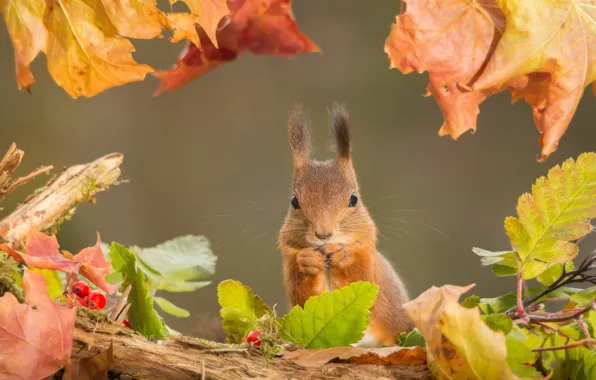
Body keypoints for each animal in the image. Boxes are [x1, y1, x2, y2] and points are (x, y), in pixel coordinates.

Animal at [278, 102, 412, 346]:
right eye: (294, 201)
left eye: (353, 199)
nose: (323, 234)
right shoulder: (289, 259)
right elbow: (304, 298)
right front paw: (307, 260)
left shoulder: (368, 254)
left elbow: (364, 279)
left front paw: (344, 255)